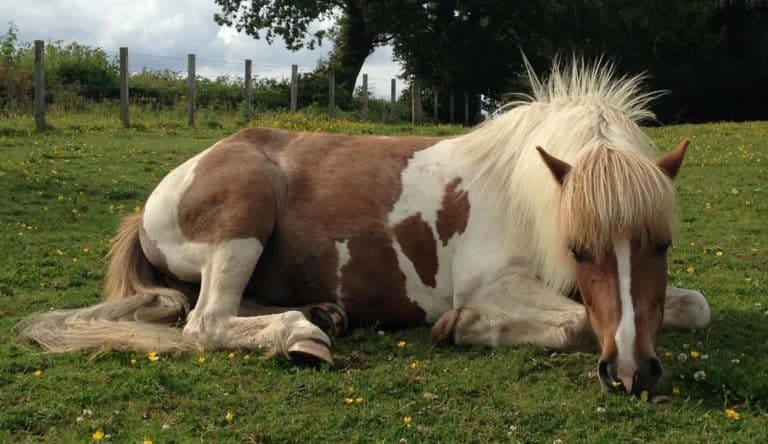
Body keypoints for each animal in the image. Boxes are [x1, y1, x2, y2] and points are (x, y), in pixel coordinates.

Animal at [20, 59, 711, 396]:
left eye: (662, 243)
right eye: (578, 248)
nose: (632, 375)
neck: (522, 192)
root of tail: (152, 203)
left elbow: (693, 306)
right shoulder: (497, 286)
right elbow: (574, 324)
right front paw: (464, 328)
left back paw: (321, 315)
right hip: (243, 217)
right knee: (206, 323)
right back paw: (301, 335)